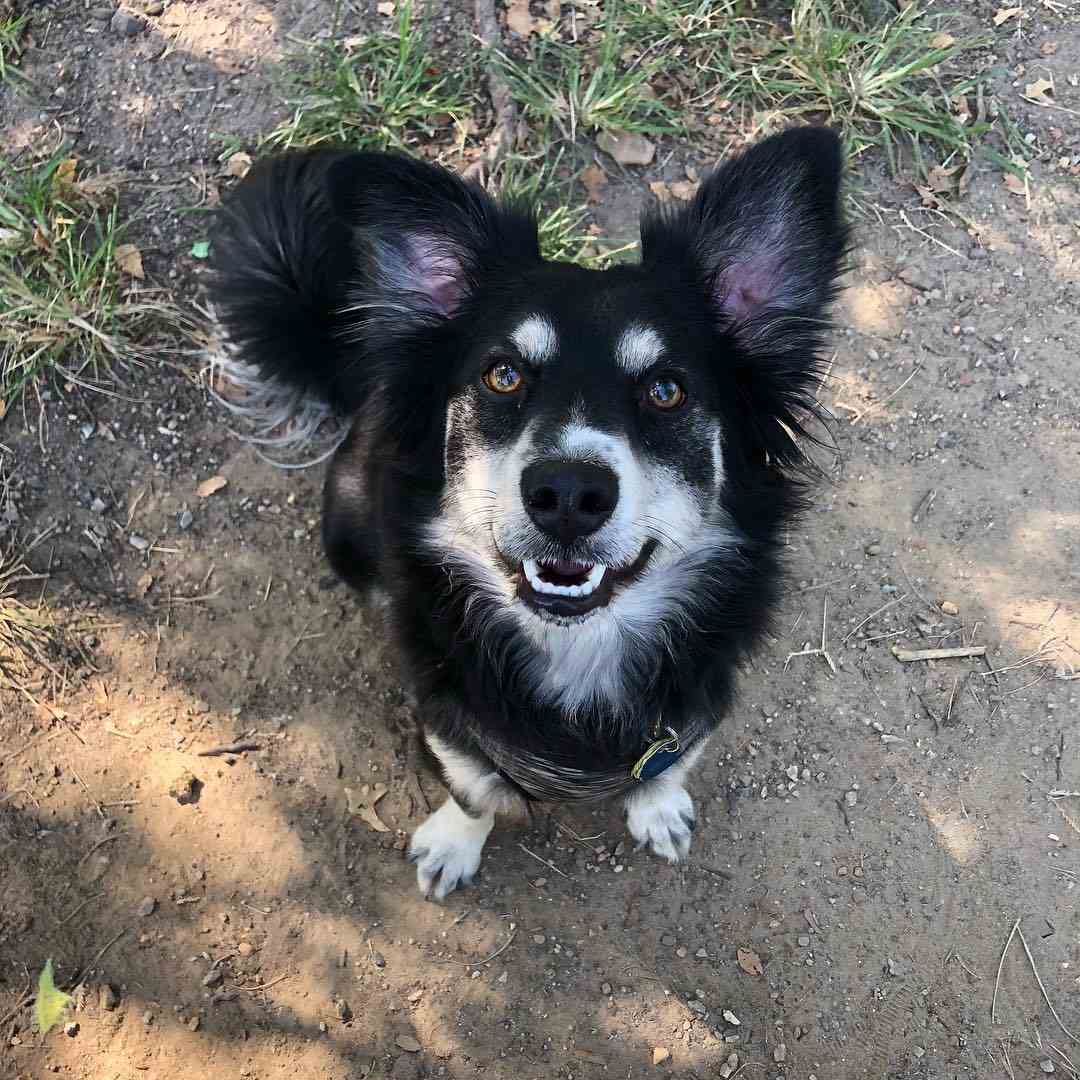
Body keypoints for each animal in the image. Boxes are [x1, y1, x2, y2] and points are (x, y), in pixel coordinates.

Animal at [210, 126, 846, 898]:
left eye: (666, 390)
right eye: (503, 375)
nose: (568, 493)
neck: (579, 651)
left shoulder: (697, 703)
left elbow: (671, 763)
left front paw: (658, 807)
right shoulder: (449, 718)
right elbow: (470, 788)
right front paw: (453, 844)